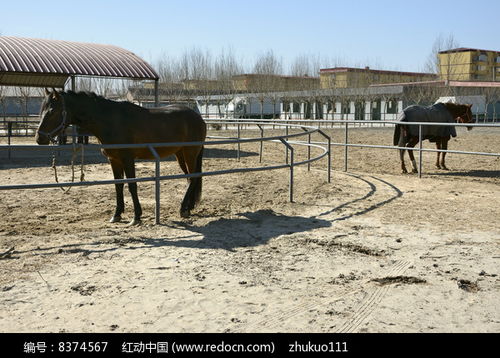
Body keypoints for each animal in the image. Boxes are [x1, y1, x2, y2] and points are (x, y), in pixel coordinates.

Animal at [36, 89, 206, 224]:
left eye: (52, 111)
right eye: (42, 110)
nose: (39, 138)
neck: (111, 120)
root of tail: (198, 118)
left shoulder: (127, 159)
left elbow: (132, 185)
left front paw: (136, 217)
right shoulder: (114, 160)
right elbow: (118, 185)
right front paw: (117, 214)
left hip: (190, 153)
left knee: (193, 177)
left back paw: (183, 209)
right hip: (180, 154)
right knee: (190, 178)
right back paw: (188, 207)